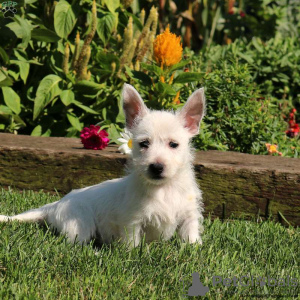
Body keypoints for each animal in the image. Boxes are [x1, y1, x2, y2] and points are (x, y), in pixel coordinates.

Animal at [0, 84, 205, 246]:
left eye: (174, 144)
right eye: (144, 144)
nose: (156, 167)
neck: (164, 189)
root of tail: (54, 205)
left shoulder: (189, 216)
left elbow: (191, 238)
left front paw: (194, 251)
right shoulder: (133, 221)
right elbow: (132, 245)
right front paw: (133, 256)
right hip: (79, 224)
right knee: (76, 245)